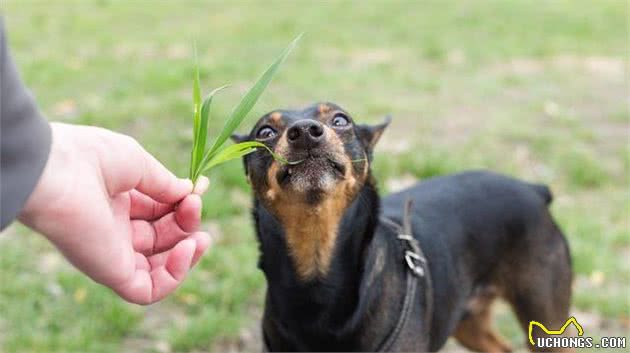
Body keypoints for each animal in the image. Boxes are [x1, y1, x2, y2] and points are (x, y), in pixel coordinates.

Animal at [233, 102, 576, 350]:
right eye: (264, 131)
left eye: (341, 120)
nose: (305, 130)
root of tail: (533, 189)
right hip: (467, 319)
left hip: (546, 320)